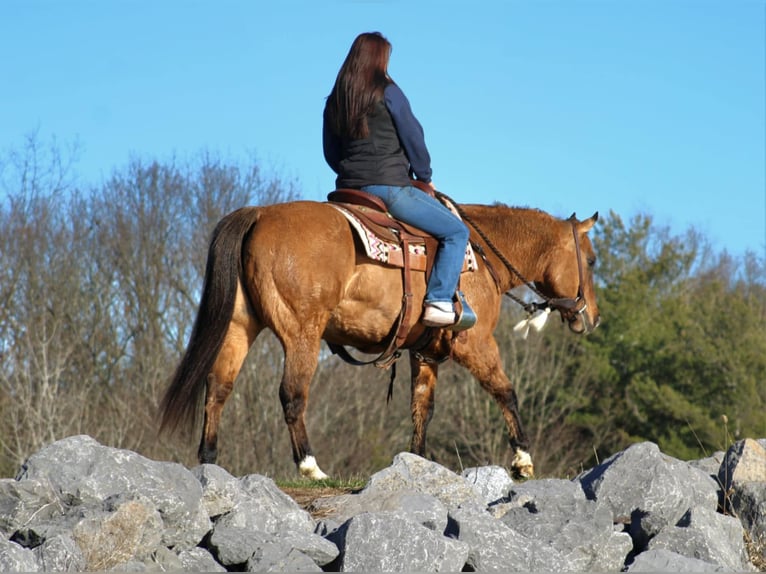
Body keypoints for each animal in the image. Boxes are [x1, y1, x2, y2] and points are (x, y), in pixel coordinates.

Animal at [160, 192, 600, 482]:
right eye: (592, 260)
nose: (591, 317)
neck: (480, 255)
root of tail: (258, 214)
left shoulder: (425, 355)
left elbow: (422, 408)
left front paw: (419, 463)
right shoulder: (476, 344)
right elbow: (505, 392)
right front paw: (523, 459)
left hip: (240, 327)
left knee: (218, 387)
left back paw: (210, 460)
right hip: (301, 333)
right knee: (292, 395)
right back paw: (311, 466)